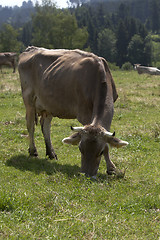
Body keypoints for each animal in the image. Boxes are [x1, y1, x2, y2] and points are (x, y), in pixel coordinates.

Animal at [18, 47, 128, 177]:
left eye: (100, 152)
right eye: (80, 149)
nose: (87, 175)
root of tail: (31, 49)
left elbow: (107, 142)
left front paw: (111, 168)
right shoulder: (84, 114)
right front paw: (111, 167)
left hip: (48, 104)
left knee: (46, 126)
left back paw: (51, 153)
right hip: (28, 100)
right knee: (30, 126)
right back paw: (33, 151)